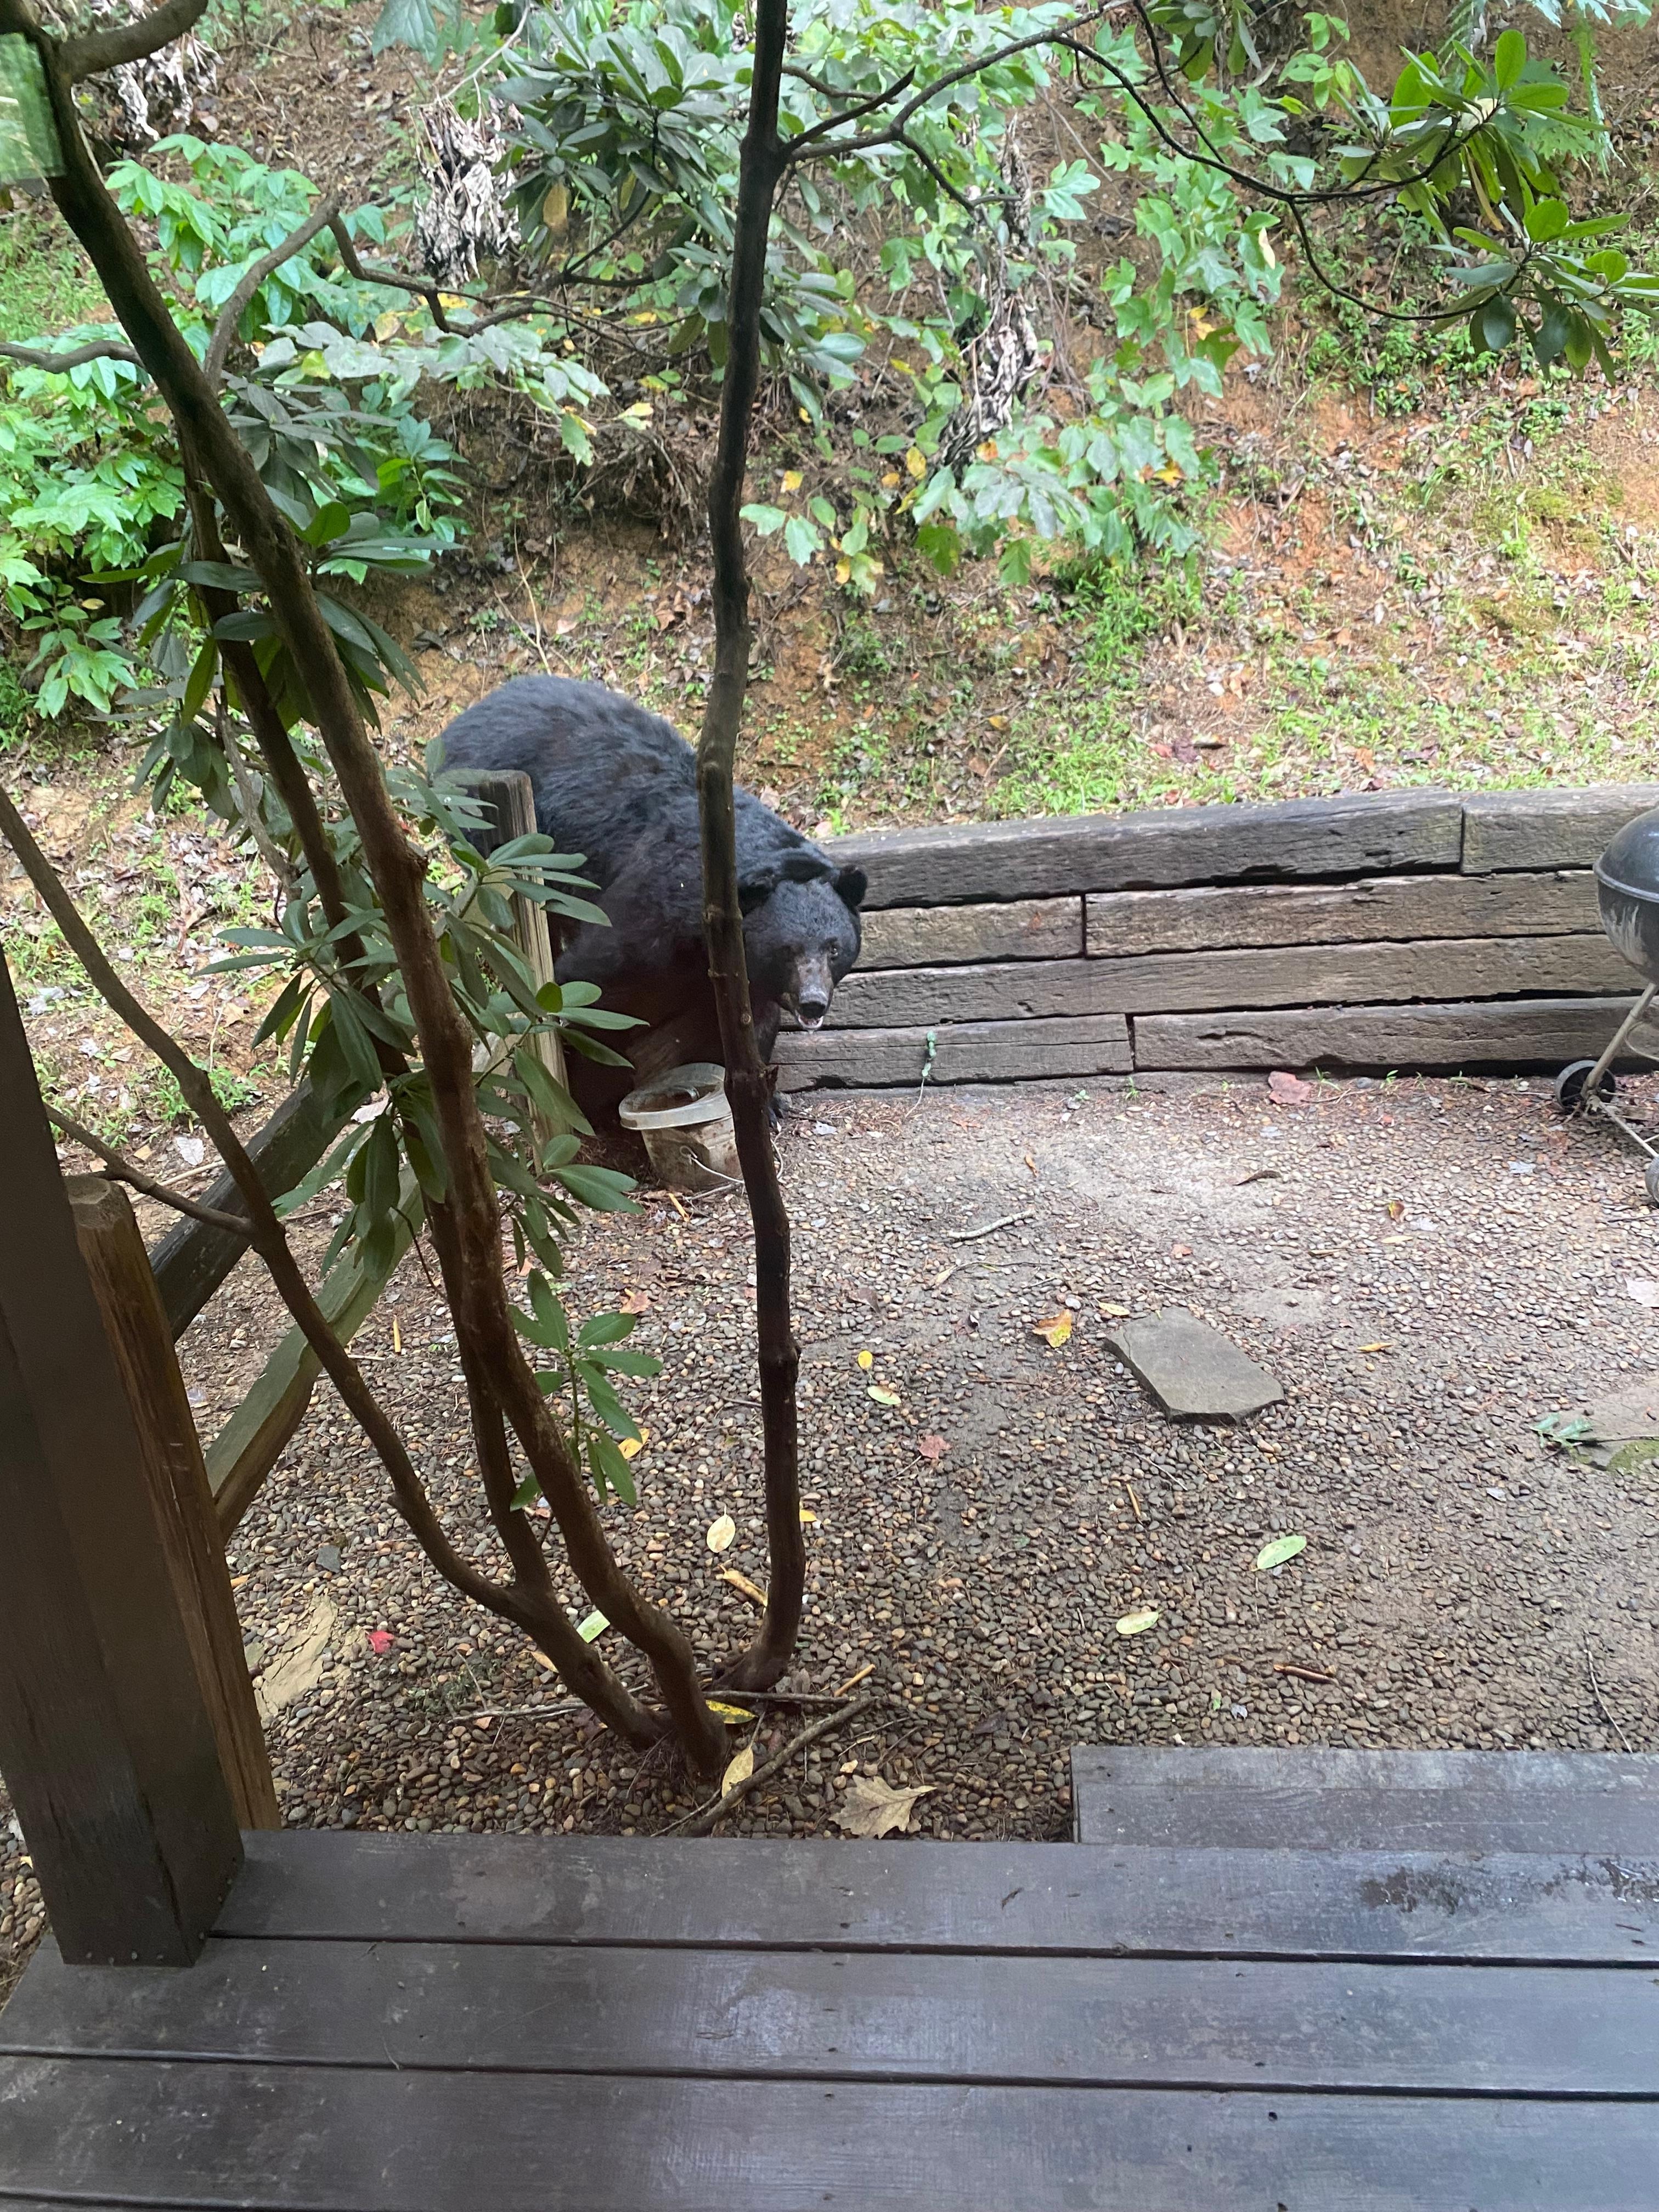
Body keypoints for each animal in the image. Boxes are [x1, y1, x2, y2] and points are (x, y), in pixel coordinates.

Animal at [438, 676, 867, 1113]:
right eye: (788, 949)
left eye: (834, 948)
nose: (813, 1001)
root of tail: (462, 720)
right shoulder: (652, 911)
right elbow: (589, 981)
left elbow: (751, 1022)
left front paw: (767, 1100)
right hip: (491, 835)